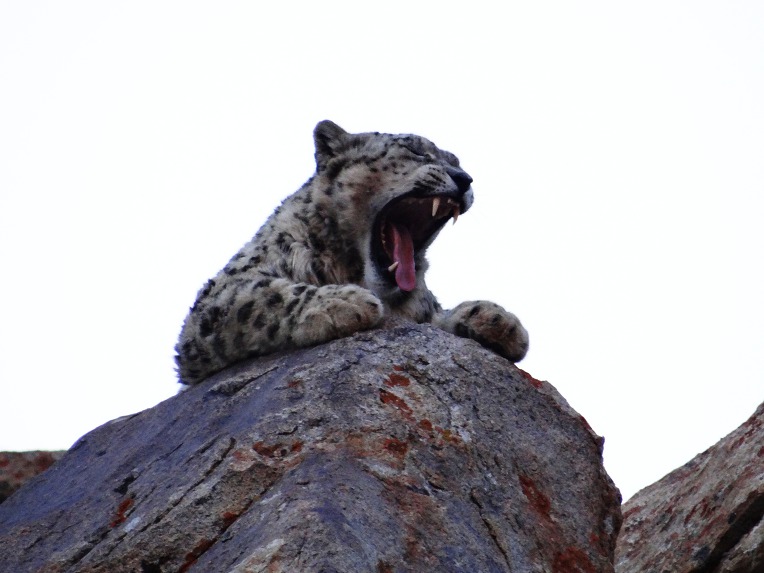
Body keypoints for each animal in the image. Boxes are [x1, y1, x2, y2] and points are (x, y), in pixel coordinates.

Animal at [175, 120, 529, 385]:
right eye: (414, 148)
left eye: (457, 162)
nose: (464, 178)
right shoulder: (216, 298)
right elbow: (262, 295)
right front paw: (342, 302)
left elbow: (432, 314)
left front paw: (495, 319)